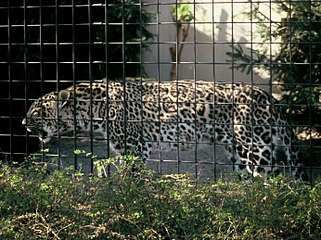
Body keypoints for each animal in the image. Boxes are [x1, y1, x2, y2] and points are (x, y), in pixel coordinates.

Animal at [21, 79, 308, 182]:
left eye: (36, 111)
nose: (22, 123)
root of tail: (270, 98)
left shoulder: (135, 149)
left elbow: (131, 179)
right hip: (236, 151)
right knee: (249, 178)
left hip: (256, 148)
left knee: (275, 178)